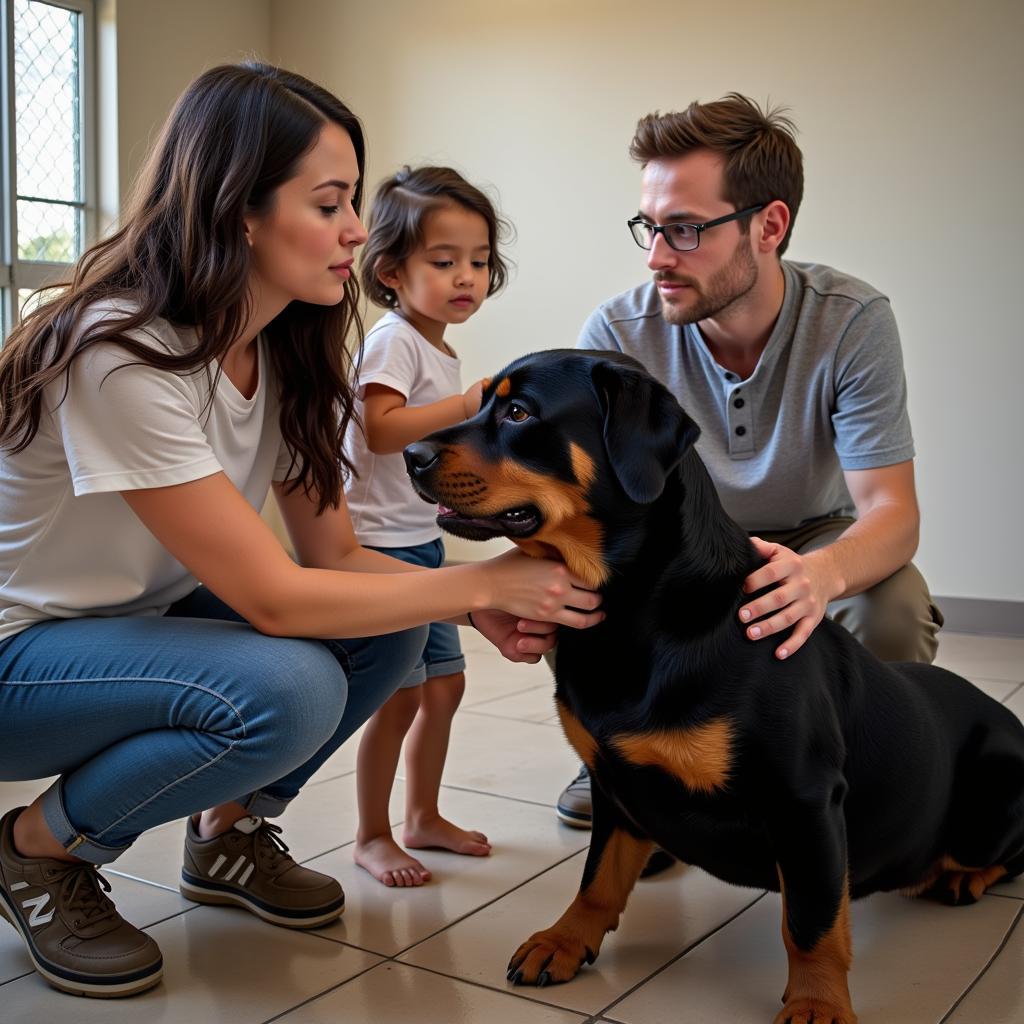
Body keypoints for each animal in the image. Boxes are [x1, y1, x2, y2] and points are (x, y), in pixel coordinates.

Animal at [401, 348, 1024, 1019]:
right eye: (480, 403)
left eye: (518, 412)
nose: (409, 454)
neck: (630, 610)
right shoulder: (614, 781)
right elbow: (597, 877)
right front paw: (564, 940)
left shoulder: (804, 798)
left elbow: (811, 922)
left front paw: (818, 1001)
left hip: (994, 789)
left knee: (1005, 857)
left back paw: (962, 876)